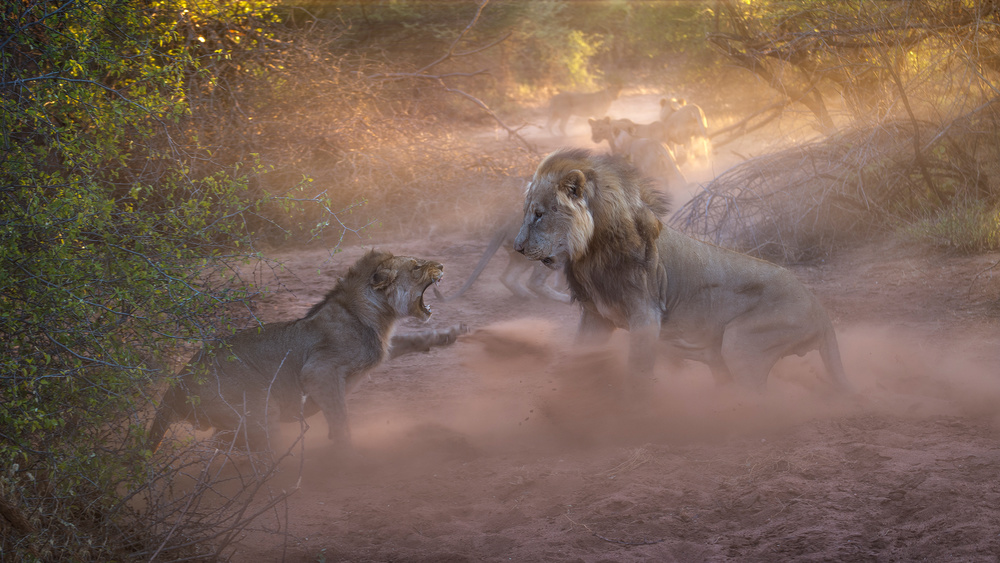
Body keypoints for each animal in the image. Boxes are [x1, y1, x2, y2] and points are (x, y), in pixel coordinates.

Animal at [148, 251, 468, 454]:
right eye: (416, 267)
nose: (441, 265)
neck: (375, 316)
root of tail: (177, 383)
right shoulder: (319, 372)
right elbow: (340, 416)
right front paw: (347, 454)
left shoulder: (380, 348)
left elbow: (412, 339)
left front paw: (448, 334)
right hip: (260, 407)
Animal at [516, 148, 852, 394]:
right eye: (527, 212)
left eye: (539, 214)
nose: (517, 247)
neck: (589, 254)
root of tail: (820, 309)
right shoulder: (596, 316)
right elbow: (580, 354)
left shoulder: (646, 316)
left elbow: (637, 371)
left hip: (741, 342)